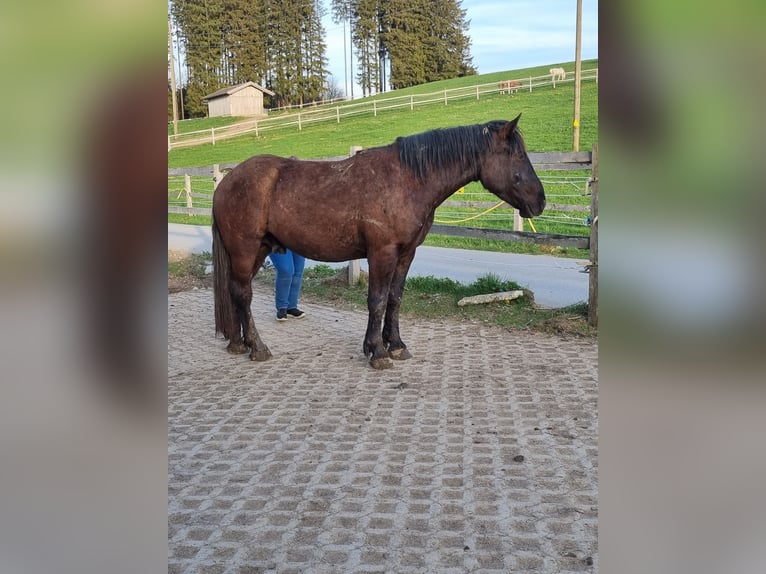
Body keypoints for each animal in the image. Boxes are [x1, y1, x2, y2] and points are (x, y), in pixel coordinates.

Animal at [212, 116, 544, 368]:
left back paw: (239, 343)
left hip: (258, 251)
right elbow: (377, 300)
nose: (540, 202)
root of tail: (226, 181)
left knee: (236, 291)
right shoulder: (381, 253)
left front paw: (395, 345)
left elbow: (395, 299)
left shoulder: (406, 254)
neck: (408, 180)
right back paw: (257, 347)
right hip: (244, 250)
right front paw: (378, 352)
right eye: (518, 156)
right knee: (243, 294)